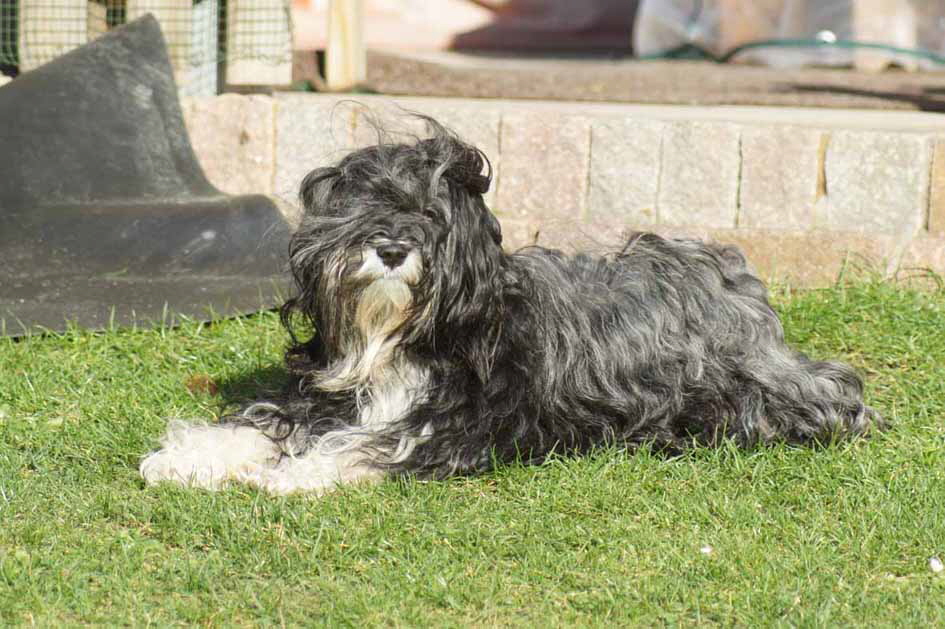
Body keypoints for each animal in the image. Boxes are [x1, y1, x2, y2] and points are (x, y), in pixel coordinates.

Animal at [138, 115, 876, 494]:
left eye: (431, 216)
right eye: (366, 205)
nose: (391, 248)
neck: (403, 340)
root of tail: (722, 269)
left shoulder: (458, 424)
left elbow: (373, 442)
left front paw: (299, 472)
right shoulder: (324, 392)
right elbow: (262, 420)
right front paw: (187, 457)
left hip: (753, 390)